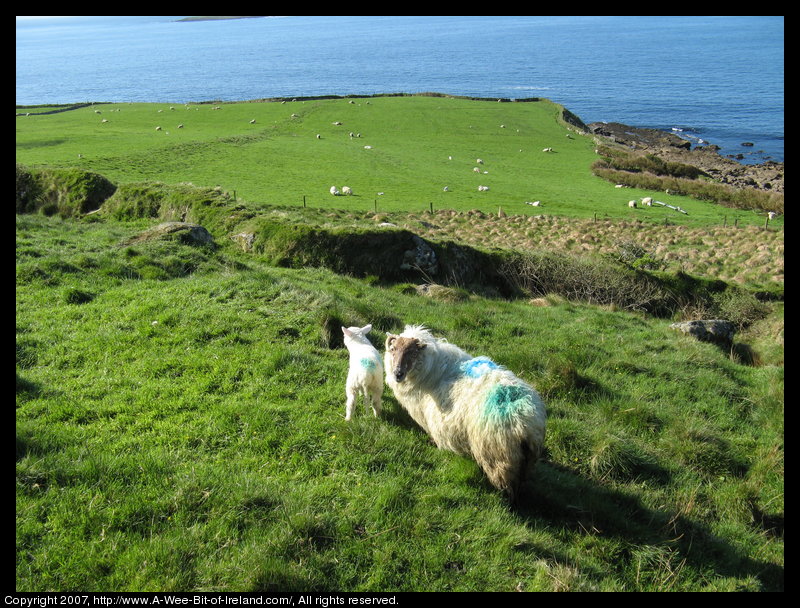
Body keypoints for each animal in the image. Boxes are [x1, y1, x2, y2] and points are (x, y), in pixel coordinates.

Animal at [384, 328, 548, 504]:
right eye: (393, 349)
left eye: (412, 353)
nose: (397, 374)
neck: (431, 371)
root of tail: (524, 422)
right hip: (524, 462)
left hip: (498, 459)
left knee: (507, 489)